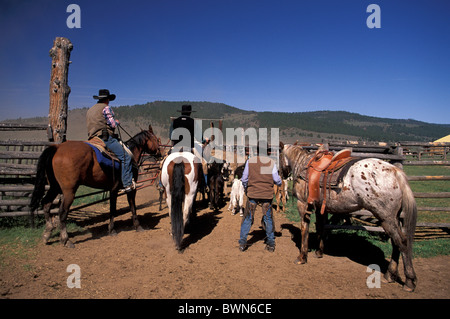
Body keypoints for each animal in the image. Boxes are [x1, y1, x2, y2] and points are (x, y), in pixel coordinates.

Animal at [29, 126, 161, 249]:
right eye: (157, 139)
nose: (159, 154)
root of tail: (57, 148)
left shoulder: (113, 190)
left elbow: (112, 209)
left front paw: (111, 230)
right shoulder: (129, 188)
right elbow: (131, 206)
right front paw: (137, 226)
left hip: (54, 187)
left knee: (46, 203)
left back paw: (47, 234)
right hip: (68, 191)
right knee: (62, 212)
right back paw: (66, 240)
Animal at [278, 144, 418, 292]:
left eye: (279, 155)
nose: (281, 174)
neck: (302, 164)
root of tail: (395, 172)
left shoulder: (303, 204)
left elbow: (304, 228)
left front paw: (302, 257)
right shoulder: (320, 208)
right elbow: (321, 227)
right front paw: (319, 252)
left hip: (386, 218)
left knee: (401, 242)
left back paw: (409, 281)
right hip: (393, 218)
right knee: (396, 243)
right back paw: (389, 275)